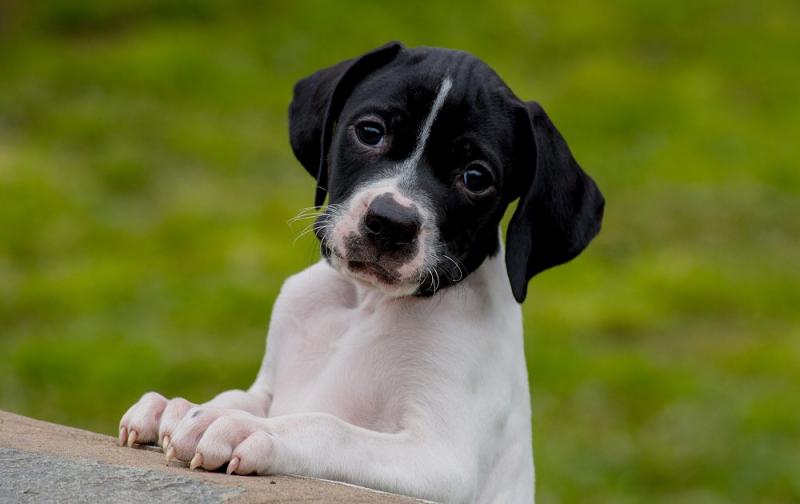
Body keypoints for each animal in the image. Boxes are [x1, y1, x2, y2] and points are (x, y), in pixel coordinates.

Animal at [119, 42, 604, 504]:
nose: (391, 221)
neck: (364, 302)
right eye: (371, 132)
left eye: (476, 177)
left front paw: (248, 429)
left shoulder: (442, 460)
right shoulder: (272, 387)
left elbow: (330, 426)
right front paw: (179, 408)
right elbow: (239, 397)